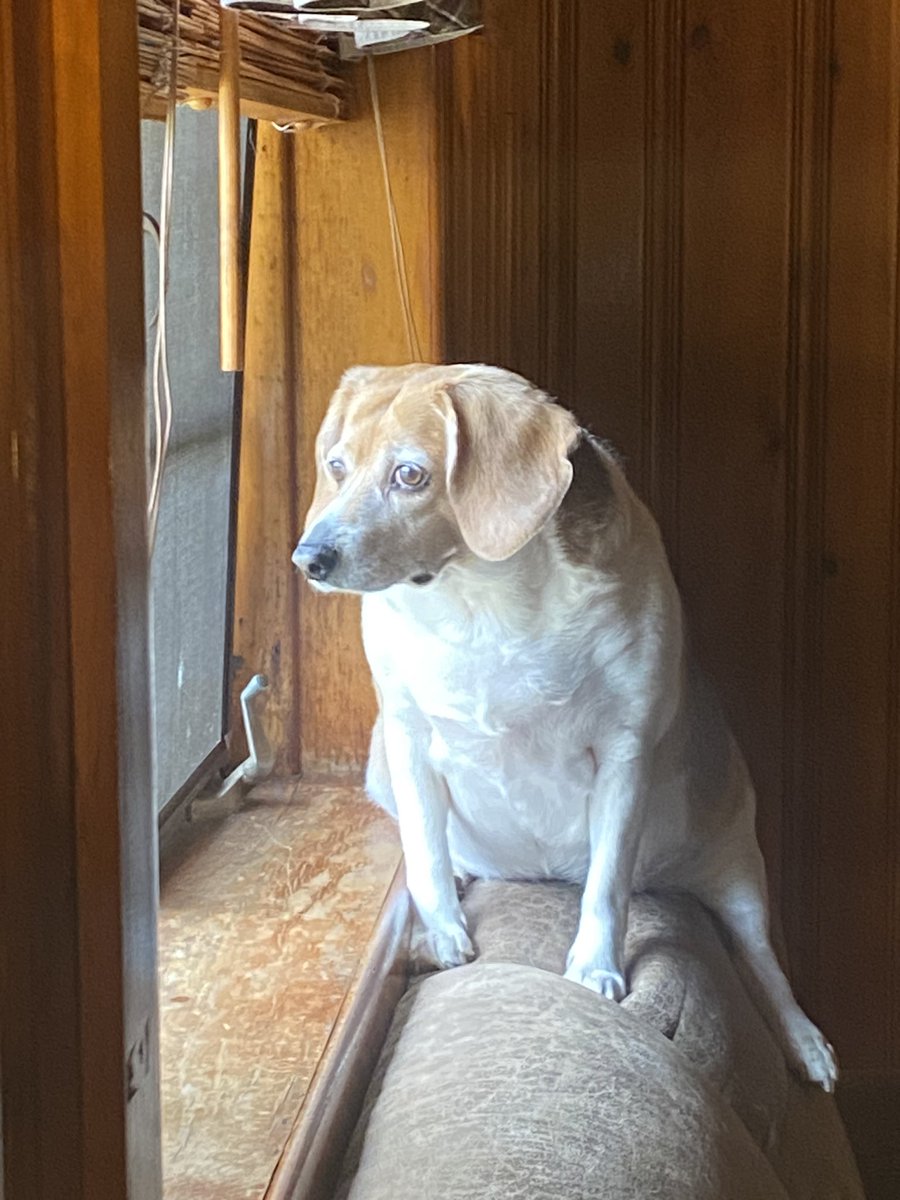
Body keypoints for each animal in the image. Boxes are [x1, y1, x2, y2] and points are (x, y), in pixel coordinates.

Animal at [294, 360, 840, 1094]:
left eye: (410, 475)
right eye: (337, 465)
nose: (309, 558)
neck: (482, 599)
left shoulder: (624, 758)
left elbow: (606, 886)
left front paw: (595, 970)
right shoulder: (406, 740)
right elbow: (426, 854)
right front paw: (442, 932)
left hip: (742, 878)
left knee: (764, 967)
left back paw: (805, 1041)